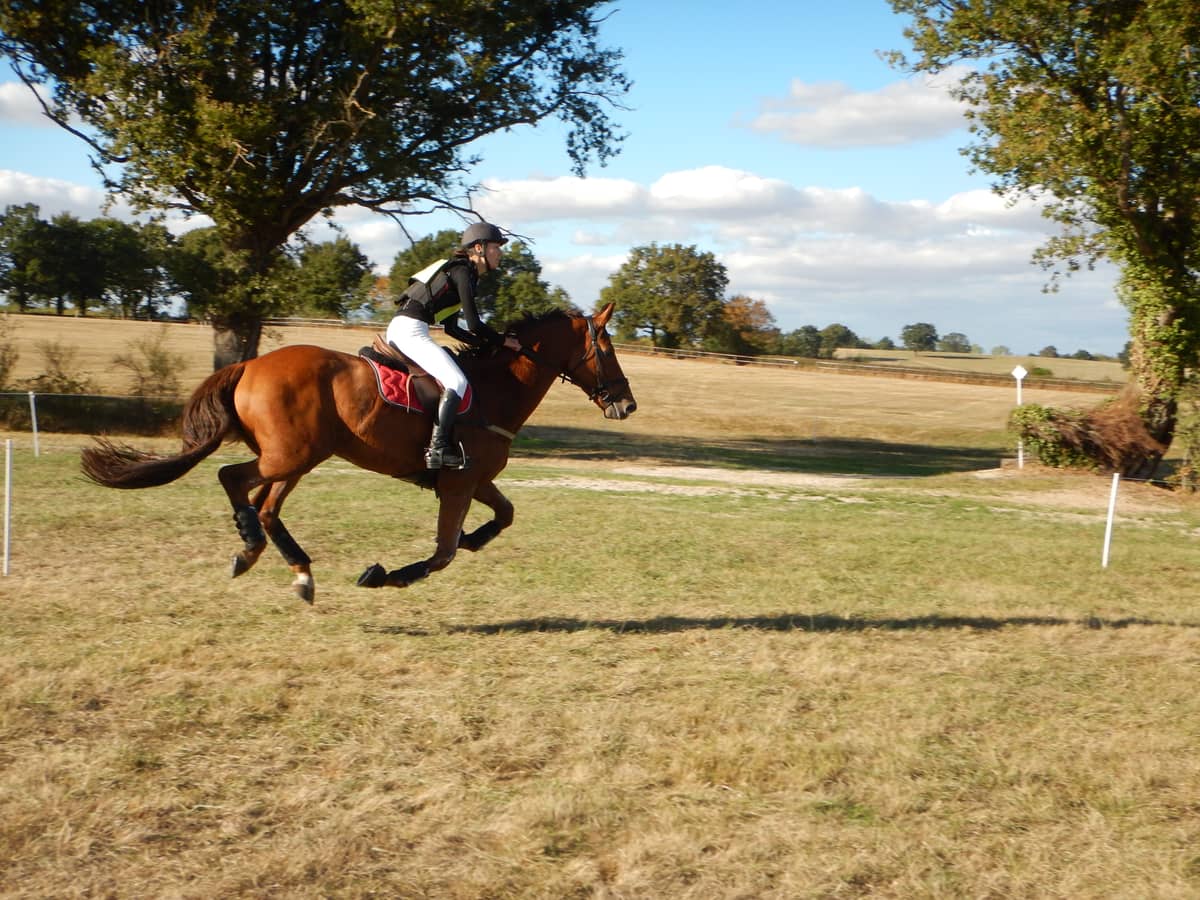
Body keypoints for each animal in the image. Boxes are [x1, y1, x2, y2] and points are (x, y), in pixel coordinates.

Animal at [80, 303, 636, 603]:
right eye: (607, 348)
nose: (626, 404)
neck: (496, 386)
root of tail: (249, 365)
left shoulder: (476, 481)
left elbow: (503, 517)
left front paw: (474, 539)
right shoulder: (458, 482)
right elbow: (443, 553)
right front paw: (386, 575)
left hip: (299, 457)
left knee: (265, 506)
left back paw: (292, 569)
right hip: (290, 456)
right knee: (234, 480)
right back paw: (254, 550)